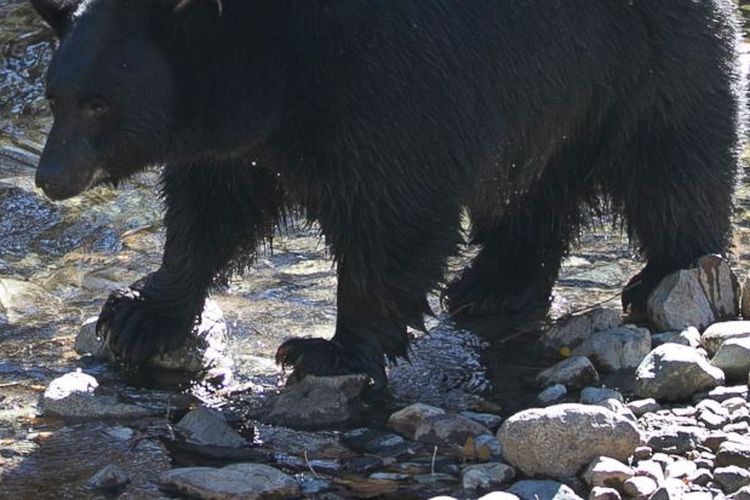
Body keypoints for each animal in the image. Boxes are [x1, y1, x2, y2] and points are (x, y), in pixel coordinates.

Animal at [32, 0, 744, 386]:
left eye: (99, 103)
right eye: (55, 96)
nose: (49, 179)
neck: (267, 52)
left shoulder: (382, 77)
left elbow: (394, 211)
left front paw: (327, 350)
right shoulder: (238, 137)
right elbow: (208, 211)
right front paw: (140, 314)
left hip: (644, 59)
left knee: (671, 164)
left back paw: (666, 277)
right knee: (535, 188)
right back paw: (493, 282)